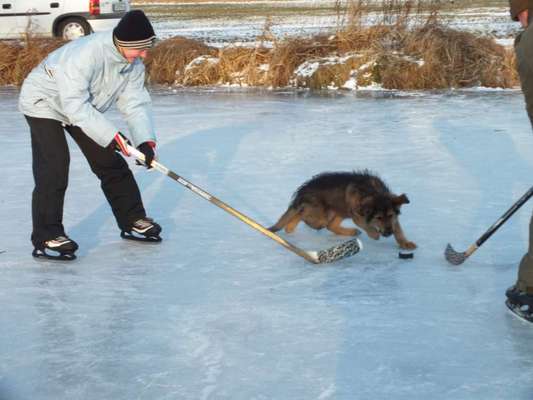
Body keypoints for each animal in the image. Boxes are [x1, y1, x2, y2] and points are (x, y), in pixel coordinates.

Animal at [270, 170, 416, 248]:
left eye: (390, 215)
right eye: (378, 218)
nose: (388, 233)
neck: (373, 193)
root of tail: (302, 192)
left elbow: (398, 229)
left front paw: (405, 243)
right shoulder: (356, 214)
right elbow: (366, 225)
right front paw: (373, 234)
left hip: (339, 210)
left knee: (330, 225)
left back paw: (351, 232)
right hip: (322, 215)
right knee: (303, 215)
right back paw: (290, 226)